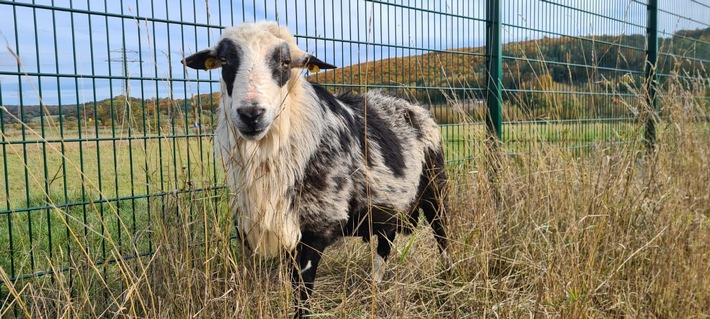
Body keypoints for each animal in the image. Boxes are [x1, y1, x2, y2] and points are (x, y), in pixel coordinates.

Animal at [184, 21, 450, 318]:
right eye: (224, 60)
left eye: (285, 62)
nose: (251, 114)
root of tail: (414, 107)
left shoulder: (316, 227)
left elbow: (303, 290)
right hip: (387, 205)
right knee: (386, 243)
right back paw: (374, 286)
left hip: (435, 188)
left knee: (442, 235)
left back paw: (447, 280)